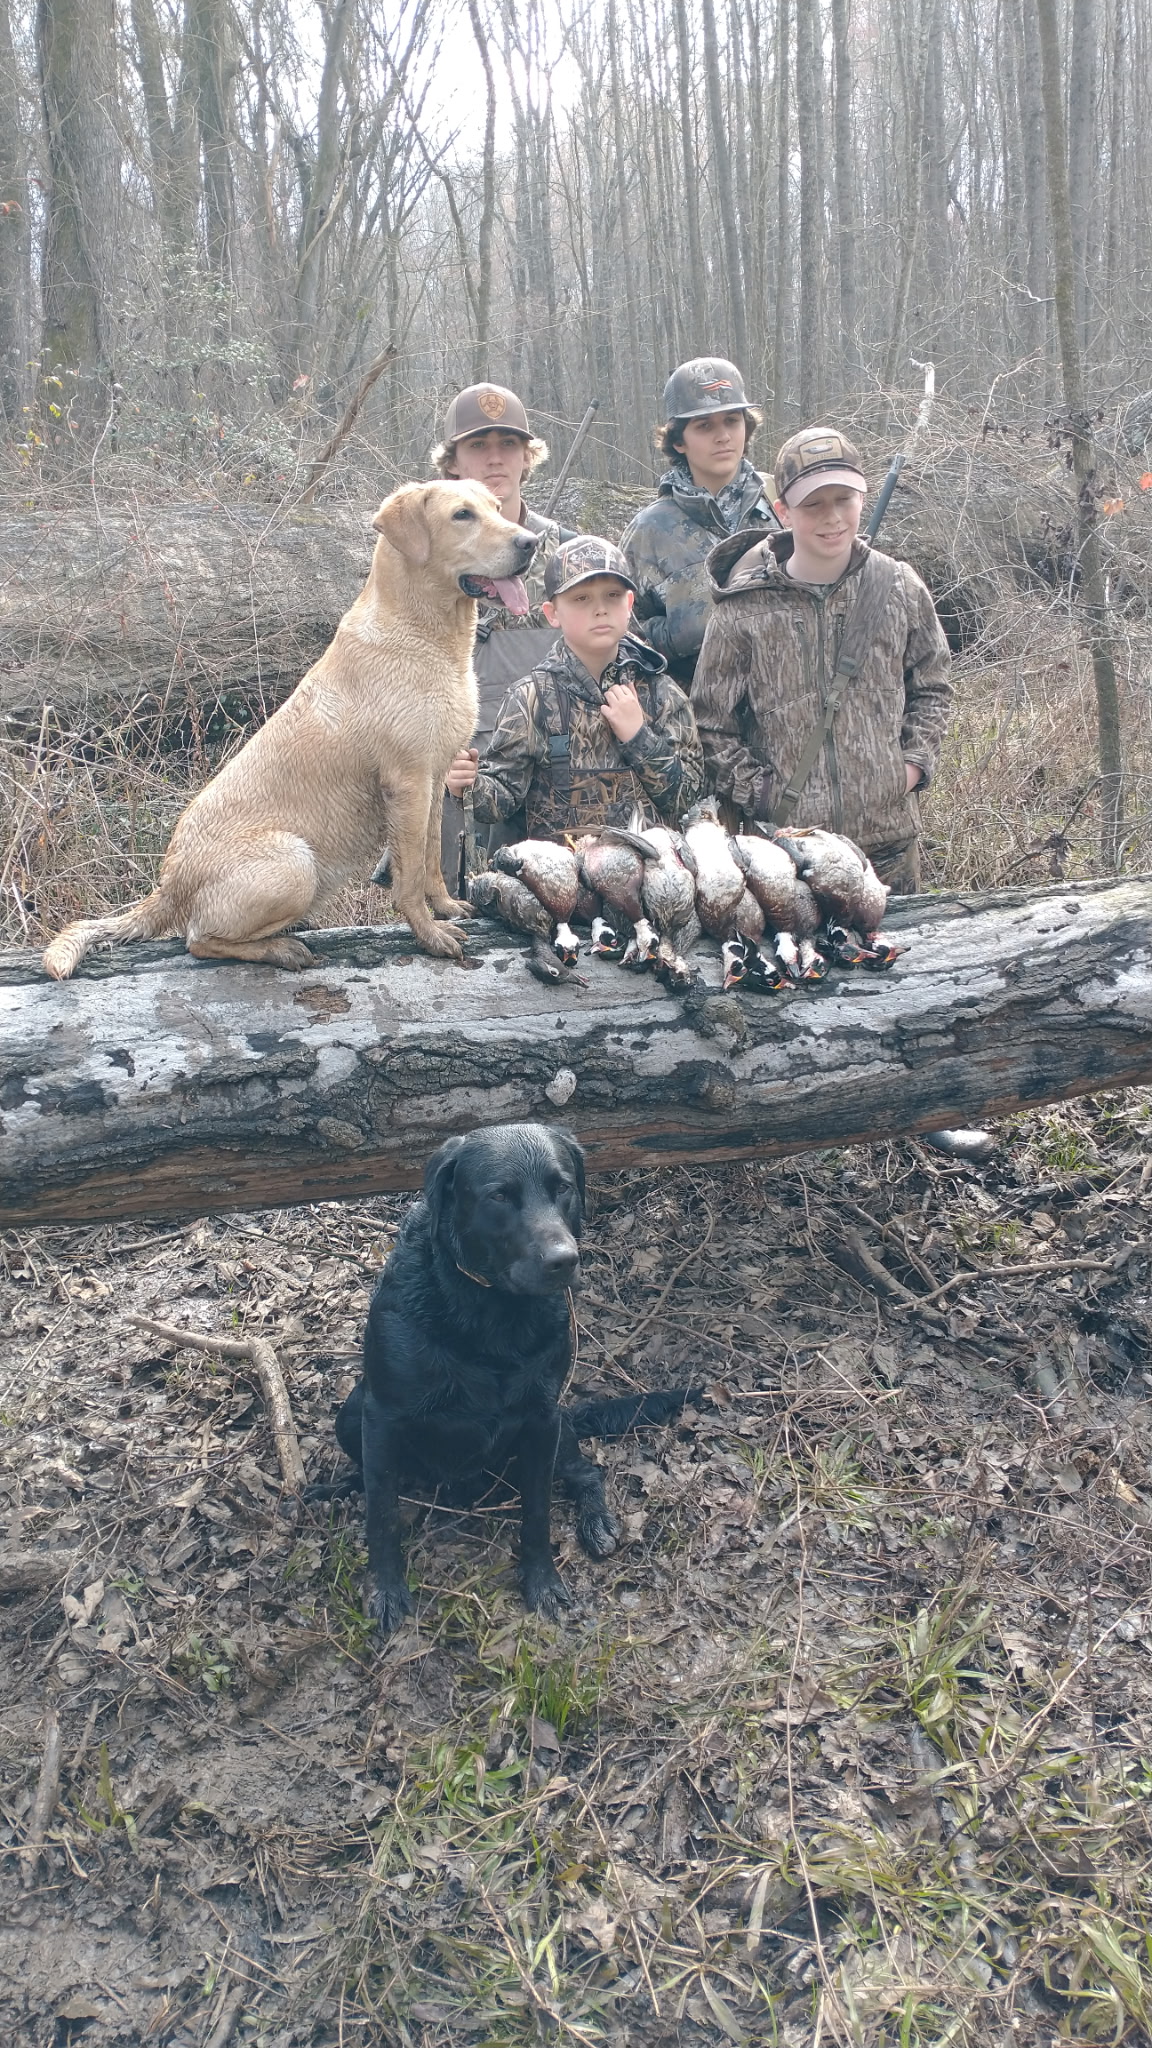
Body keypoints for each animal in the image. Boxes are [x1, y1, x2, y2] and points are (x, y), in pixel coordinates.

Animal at [42, 481, 538, 979]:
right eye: (462, 515)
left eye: (497, 507)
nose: (532, 543)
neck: (426, 636)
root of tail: (168, 886)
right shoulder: (407, 782)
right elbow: (410, 875)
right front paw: (429, 935)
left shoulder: (437, 778)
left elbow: (432, 857)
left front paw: (447, 907)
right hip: (295, 862)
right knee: (198, 940)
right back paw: (282, 949)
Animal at [318, 1124, 697, 1632]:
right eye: (499, 1195)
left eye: (563, 1188)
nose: (564, 1260)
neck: (492, 1315)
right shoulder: (381, 1415)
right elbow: (382, 1512)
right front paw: (386, 1590)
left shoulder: (541, 1419)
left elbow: (536, 1512)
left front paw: (543, 1582)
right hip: (351, 1414)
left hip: (560, 1428)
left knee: (585, 1472)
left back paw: (596, 1522)